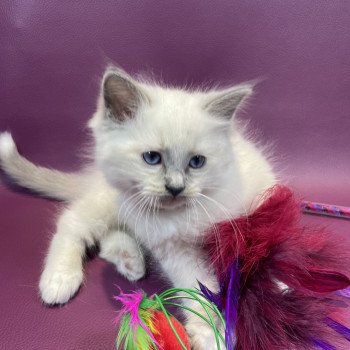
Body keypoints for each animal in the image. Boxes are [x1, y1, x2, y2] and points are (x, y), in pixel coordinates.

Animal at [0, 67, 276, 348]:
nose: (175, 188)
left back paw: (130, 262)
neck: (190, 214)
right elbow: (199, 290)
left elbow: (267, 260)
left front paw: (276, 292)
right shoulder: (176, 250)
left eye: (197, 162)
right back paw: (60, 280)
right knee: (72, 223)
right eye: (152, 158)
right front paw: (211, 333)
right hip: (110, 202)